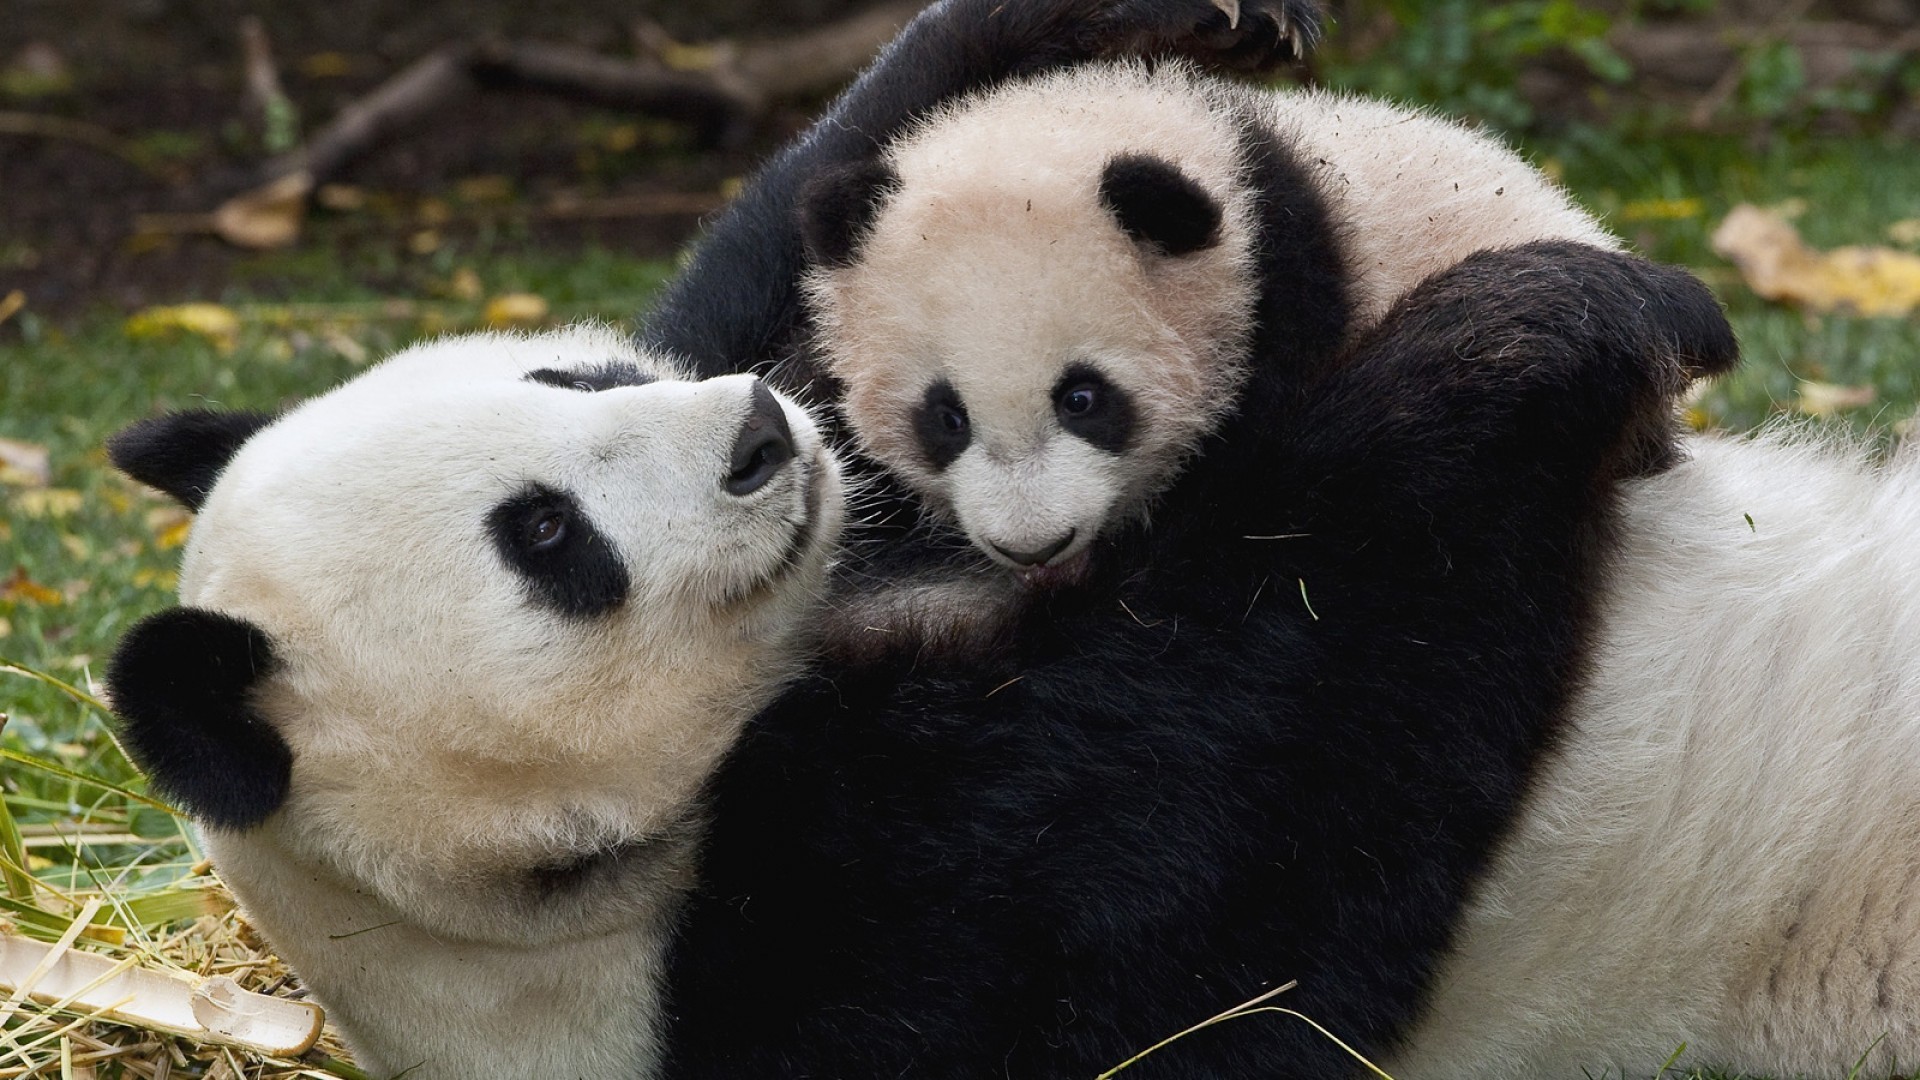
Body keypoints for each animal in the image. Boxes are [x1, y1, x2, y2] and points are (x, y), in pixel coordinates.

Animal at [104, 248, 1735, 1079]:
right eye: (548, 537)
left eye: (573, 373)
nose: (762, 434)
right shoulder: (831, 964)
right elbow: (1265, 800)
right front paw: (1533, 330)